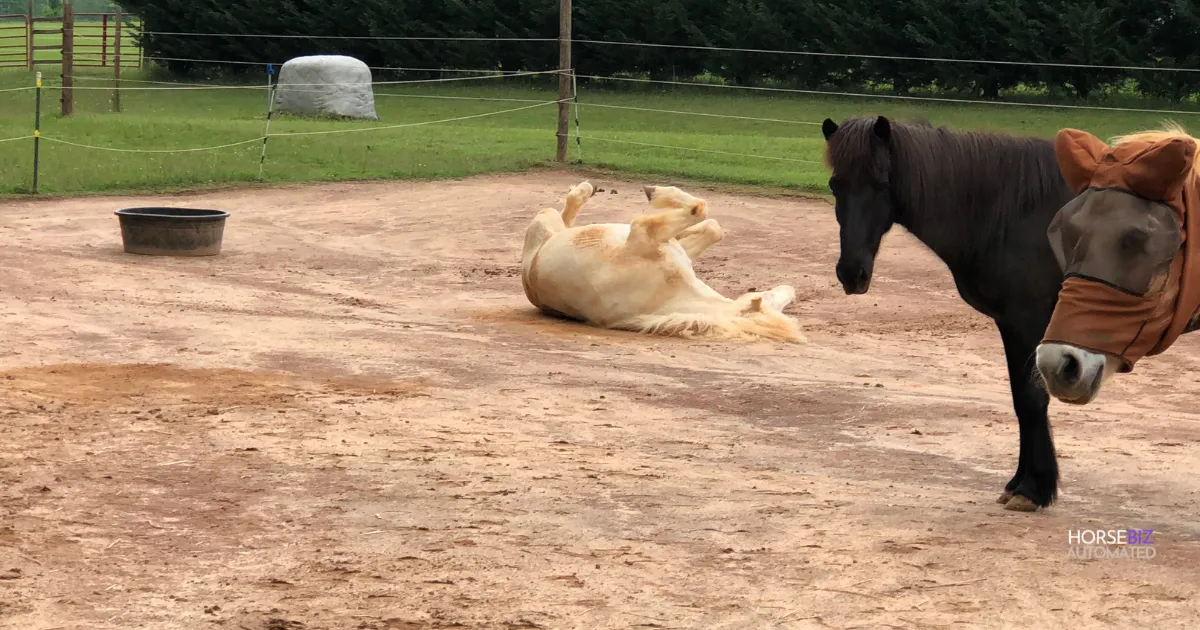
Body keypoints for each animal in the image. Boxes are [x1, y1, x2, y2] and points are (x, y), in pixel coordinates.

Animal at [825, 115, 1080, 511]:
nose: (852, 273)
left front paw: (1031, 489)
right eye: (836, 185)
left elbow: (1031, 399)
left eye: (881, 184)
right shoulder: (1011, 326)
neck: (1018, 212)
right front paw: (1021, 482)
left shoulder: (1027, 322)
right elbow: (1020, 400)